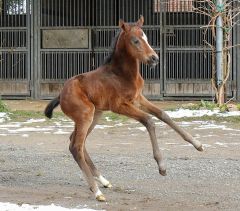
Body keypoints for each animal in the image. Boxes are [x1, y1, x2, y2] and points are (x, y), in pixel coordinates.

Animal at [44, 16, 202, 201]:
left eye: (146, 37)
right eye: (135, 40)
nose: (154, 58)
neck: (121, 75)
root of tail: (61, 94)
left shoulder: (139, 99)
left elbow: (163, 115)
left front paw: (197, 144)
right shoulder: (119, 106)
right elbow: (149, 120)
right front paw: (162, 166)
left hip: (95, 115)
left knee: (75, 142)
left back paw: (104, 181)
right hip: (85, 115)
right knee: (76, 146)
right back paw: (97, 191)